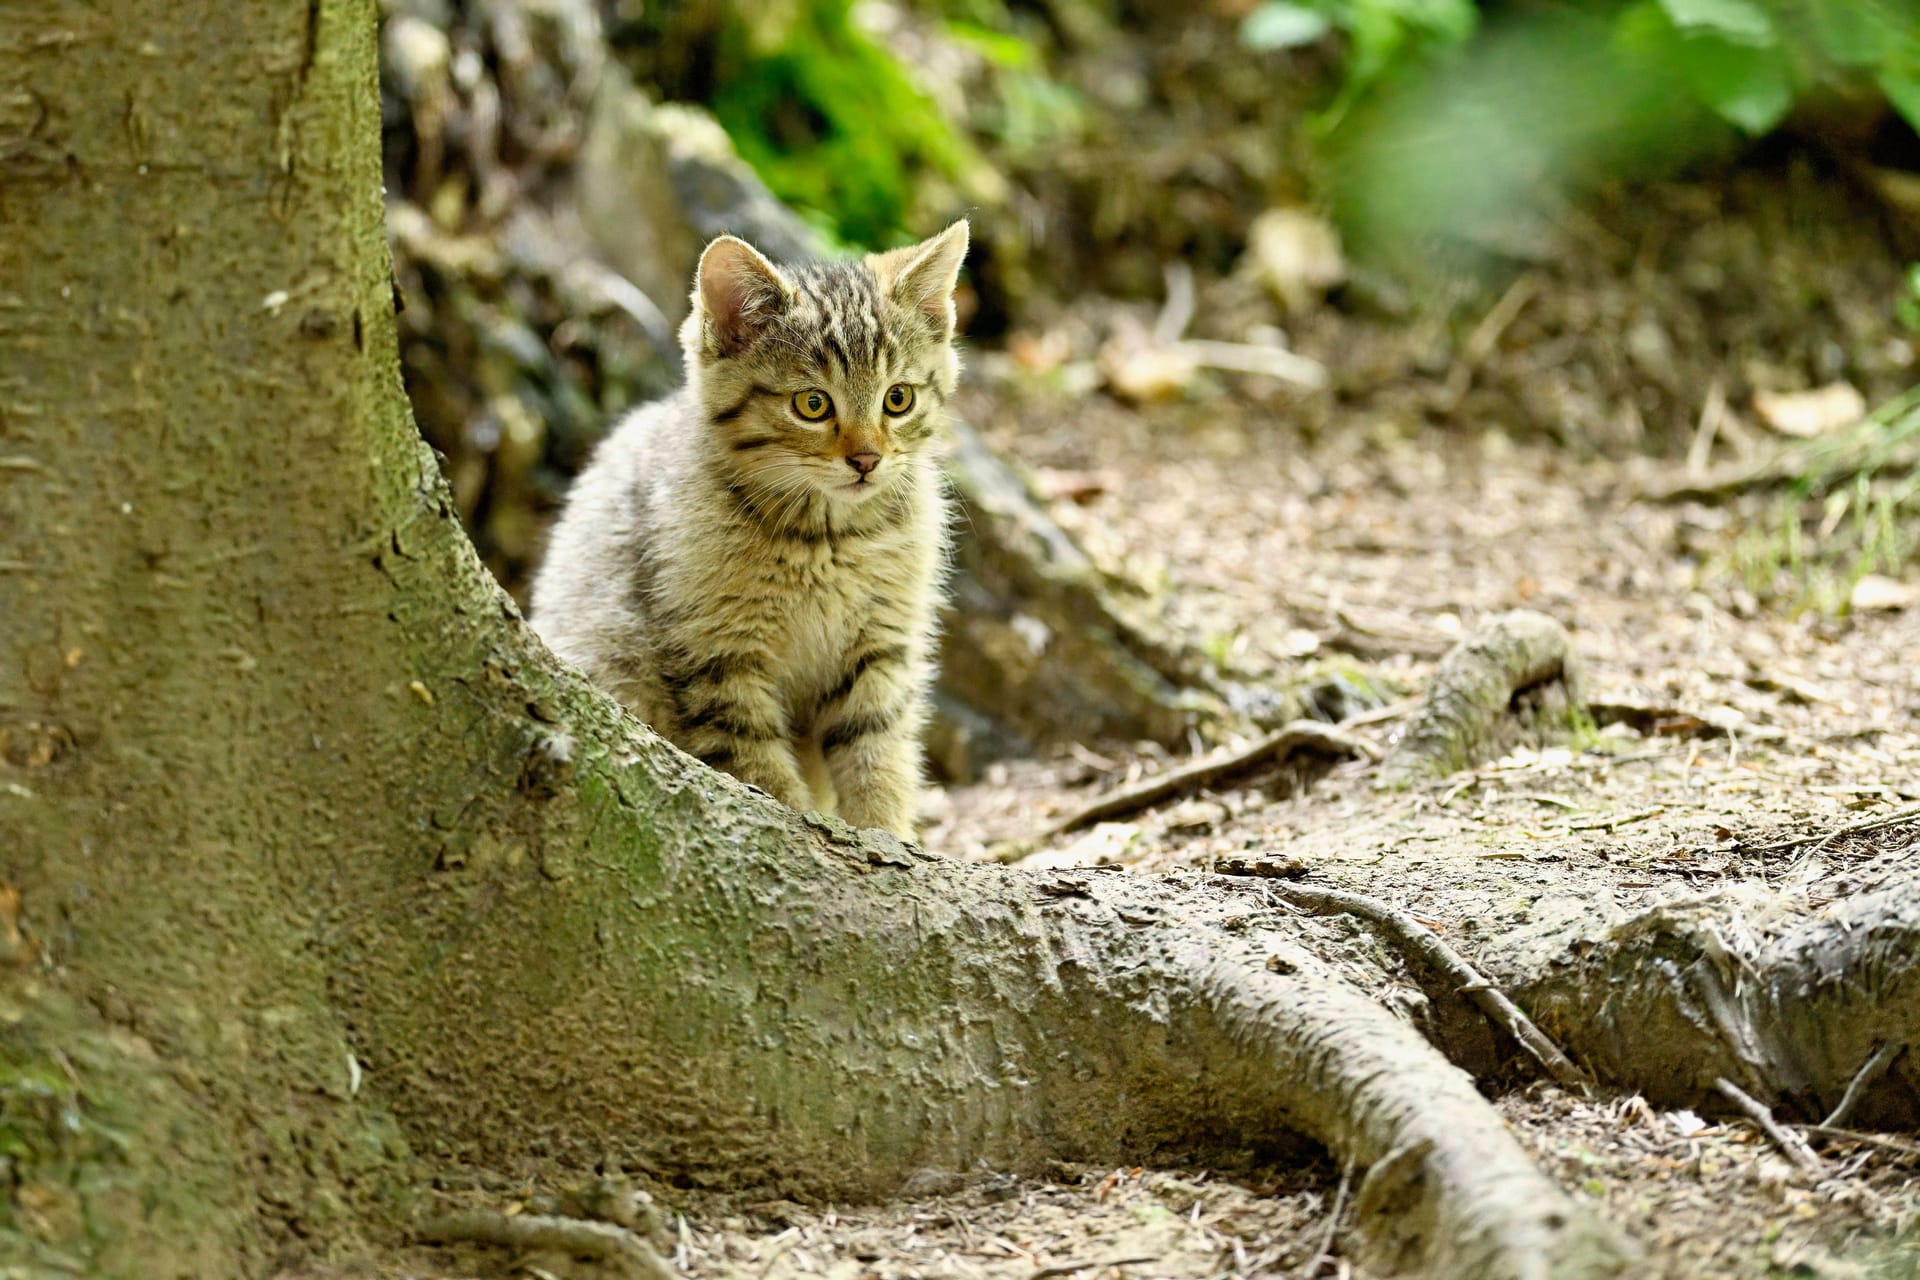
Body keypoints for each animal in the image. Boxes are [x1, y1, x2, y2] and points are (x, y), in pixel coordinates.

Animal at [529, 220, 967, 840]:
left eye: (898, 399)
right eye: (813, 404)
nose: (867, 459)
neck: (827, 540)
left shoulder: (880, 649)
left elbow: (878, 753)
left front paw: (887, 834)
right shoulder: (717, 656)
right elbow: (762, 773)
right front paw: (804, 830)